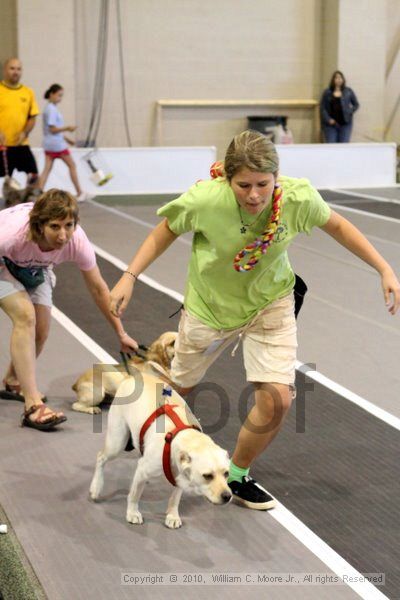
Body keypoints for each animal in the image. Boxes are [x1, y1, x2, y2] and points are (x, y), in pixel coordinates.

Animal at [87, 372, 231, 528]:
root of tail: (130, 377)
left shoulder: (180, 477)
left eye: (227, 474)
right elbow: (134, 495)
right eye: (207, 476)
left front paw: (172, 515)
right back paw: (96, 487)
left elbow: (175, 498)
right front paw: (132, 513)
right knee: (101, 457)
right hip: (117, 442)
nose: (228, 496)